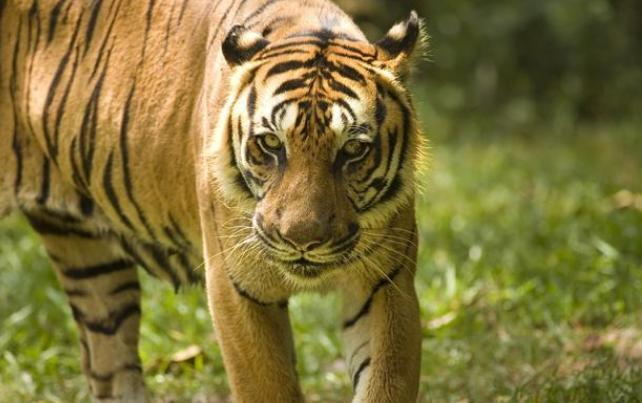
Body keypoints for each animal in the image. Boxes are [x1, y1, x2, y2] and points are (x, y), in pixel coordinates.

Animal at [2, 0, 428, 402]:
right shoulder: (234, 286)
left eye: (353, 150)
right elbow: (267, 386)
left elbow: (386, 382)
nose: (302, 241)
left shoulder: (385, 283)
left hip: (87, 257)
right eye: (270, 143)